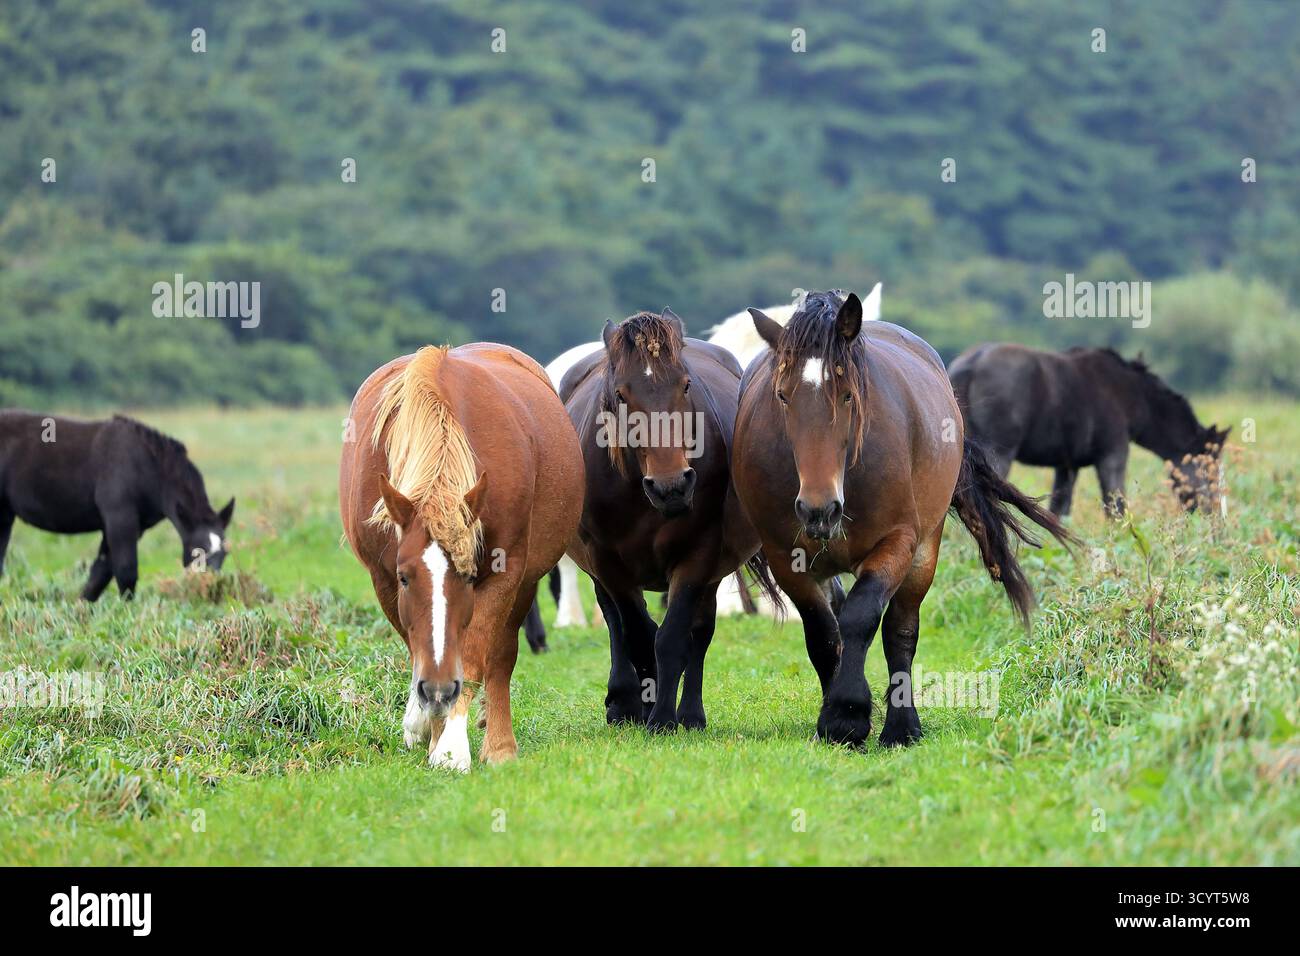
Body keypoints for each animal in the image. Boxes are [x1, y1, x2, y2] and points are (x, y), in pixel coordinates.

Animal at [0, 411, 234, 599]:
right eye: (196, 552)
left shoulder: (130, 526)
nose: (210, 588)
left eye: (225, 553)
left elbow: (101, 571)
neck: (145, 466)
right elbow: (125, 570)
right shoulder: (119, 519)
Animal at [338, 344, 583, 770]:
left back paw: (498, 743)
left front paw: (451, 746)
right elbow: (419, 651)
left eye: (468, 577)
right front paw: (428, 728)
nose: (437, 691)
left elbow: (473, 657)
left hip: (526, 583)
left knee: (501, 656)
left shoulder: (506, 572)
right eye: (405, 578)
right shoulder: (383, 580)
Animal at [560, 309, 774, 731]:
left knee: (700, 631)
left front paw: (663, 719)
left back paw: (689, 714)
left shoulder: (698, 555)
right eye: (621, 395)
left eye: (686, 384)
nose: (671, 486)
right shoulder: (607, 563)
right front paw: (643, 708)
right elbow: (637, 635)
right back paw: (624, 703)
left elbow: (674, 638)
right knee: (614, 622)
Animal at [733, 291, 1074, 748]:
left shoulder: (897, 543)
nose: (819, 508)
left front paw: (848, 714)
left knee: (900, 630)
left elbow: (863, 618)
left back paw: (901, 727)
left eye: (847, 395)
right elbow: (822, 631)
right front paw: (837, 717)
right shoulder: (785, 556)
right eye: (783, 396)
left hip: (924, 552)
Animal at [948, 344, 1230, 516]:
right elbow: (1116, 507)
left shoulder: (1066, 466)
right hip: (998, 454)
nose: (1214, 514)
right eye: (1209, 470)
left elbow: (1059, 510)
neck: (1133, 396)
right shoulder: (1112, 457)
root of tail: (970, 366)